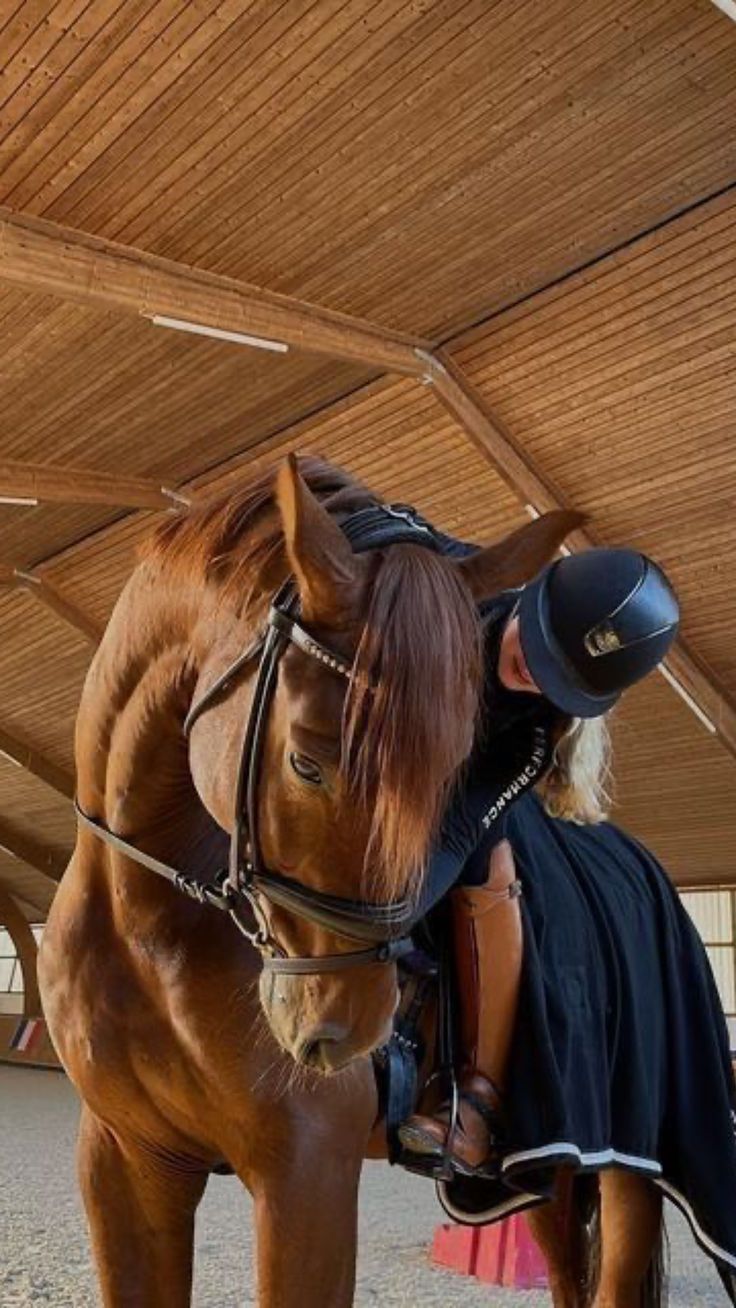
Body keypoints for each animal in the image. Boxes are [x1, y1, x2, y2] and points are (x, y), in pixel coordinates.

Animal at [40, 460, 661, 1308]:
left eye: (456, 767)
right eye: (307, 760)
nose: (342, 1031)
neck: (147, 923)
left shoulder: (307, 1173)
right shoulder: (124, 1158)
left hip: (628, 1162)